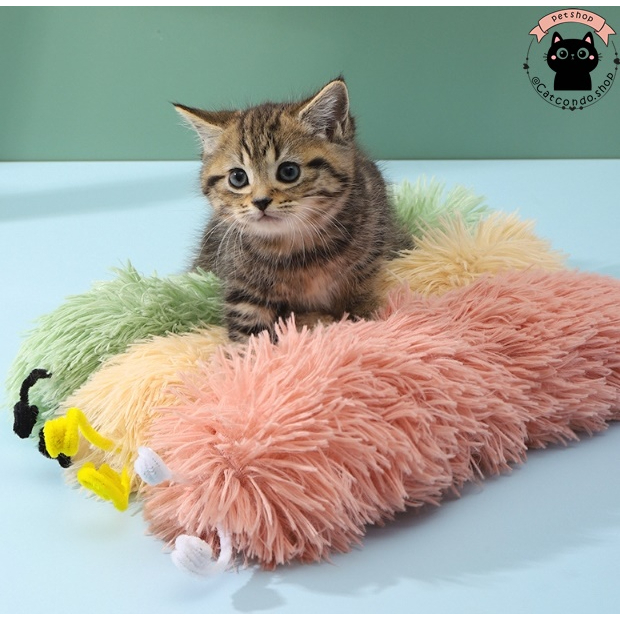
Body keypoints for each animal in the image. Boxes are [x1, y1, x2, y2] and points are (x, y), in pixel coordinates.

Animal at [175, 78, 411, 342]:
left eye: (289, 172)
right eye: (238, 178)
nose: (261, 201)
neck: (298, 249)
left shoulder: (368, 258)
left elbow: (360, 299)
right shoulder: (241, 287)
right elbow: (251, 335)